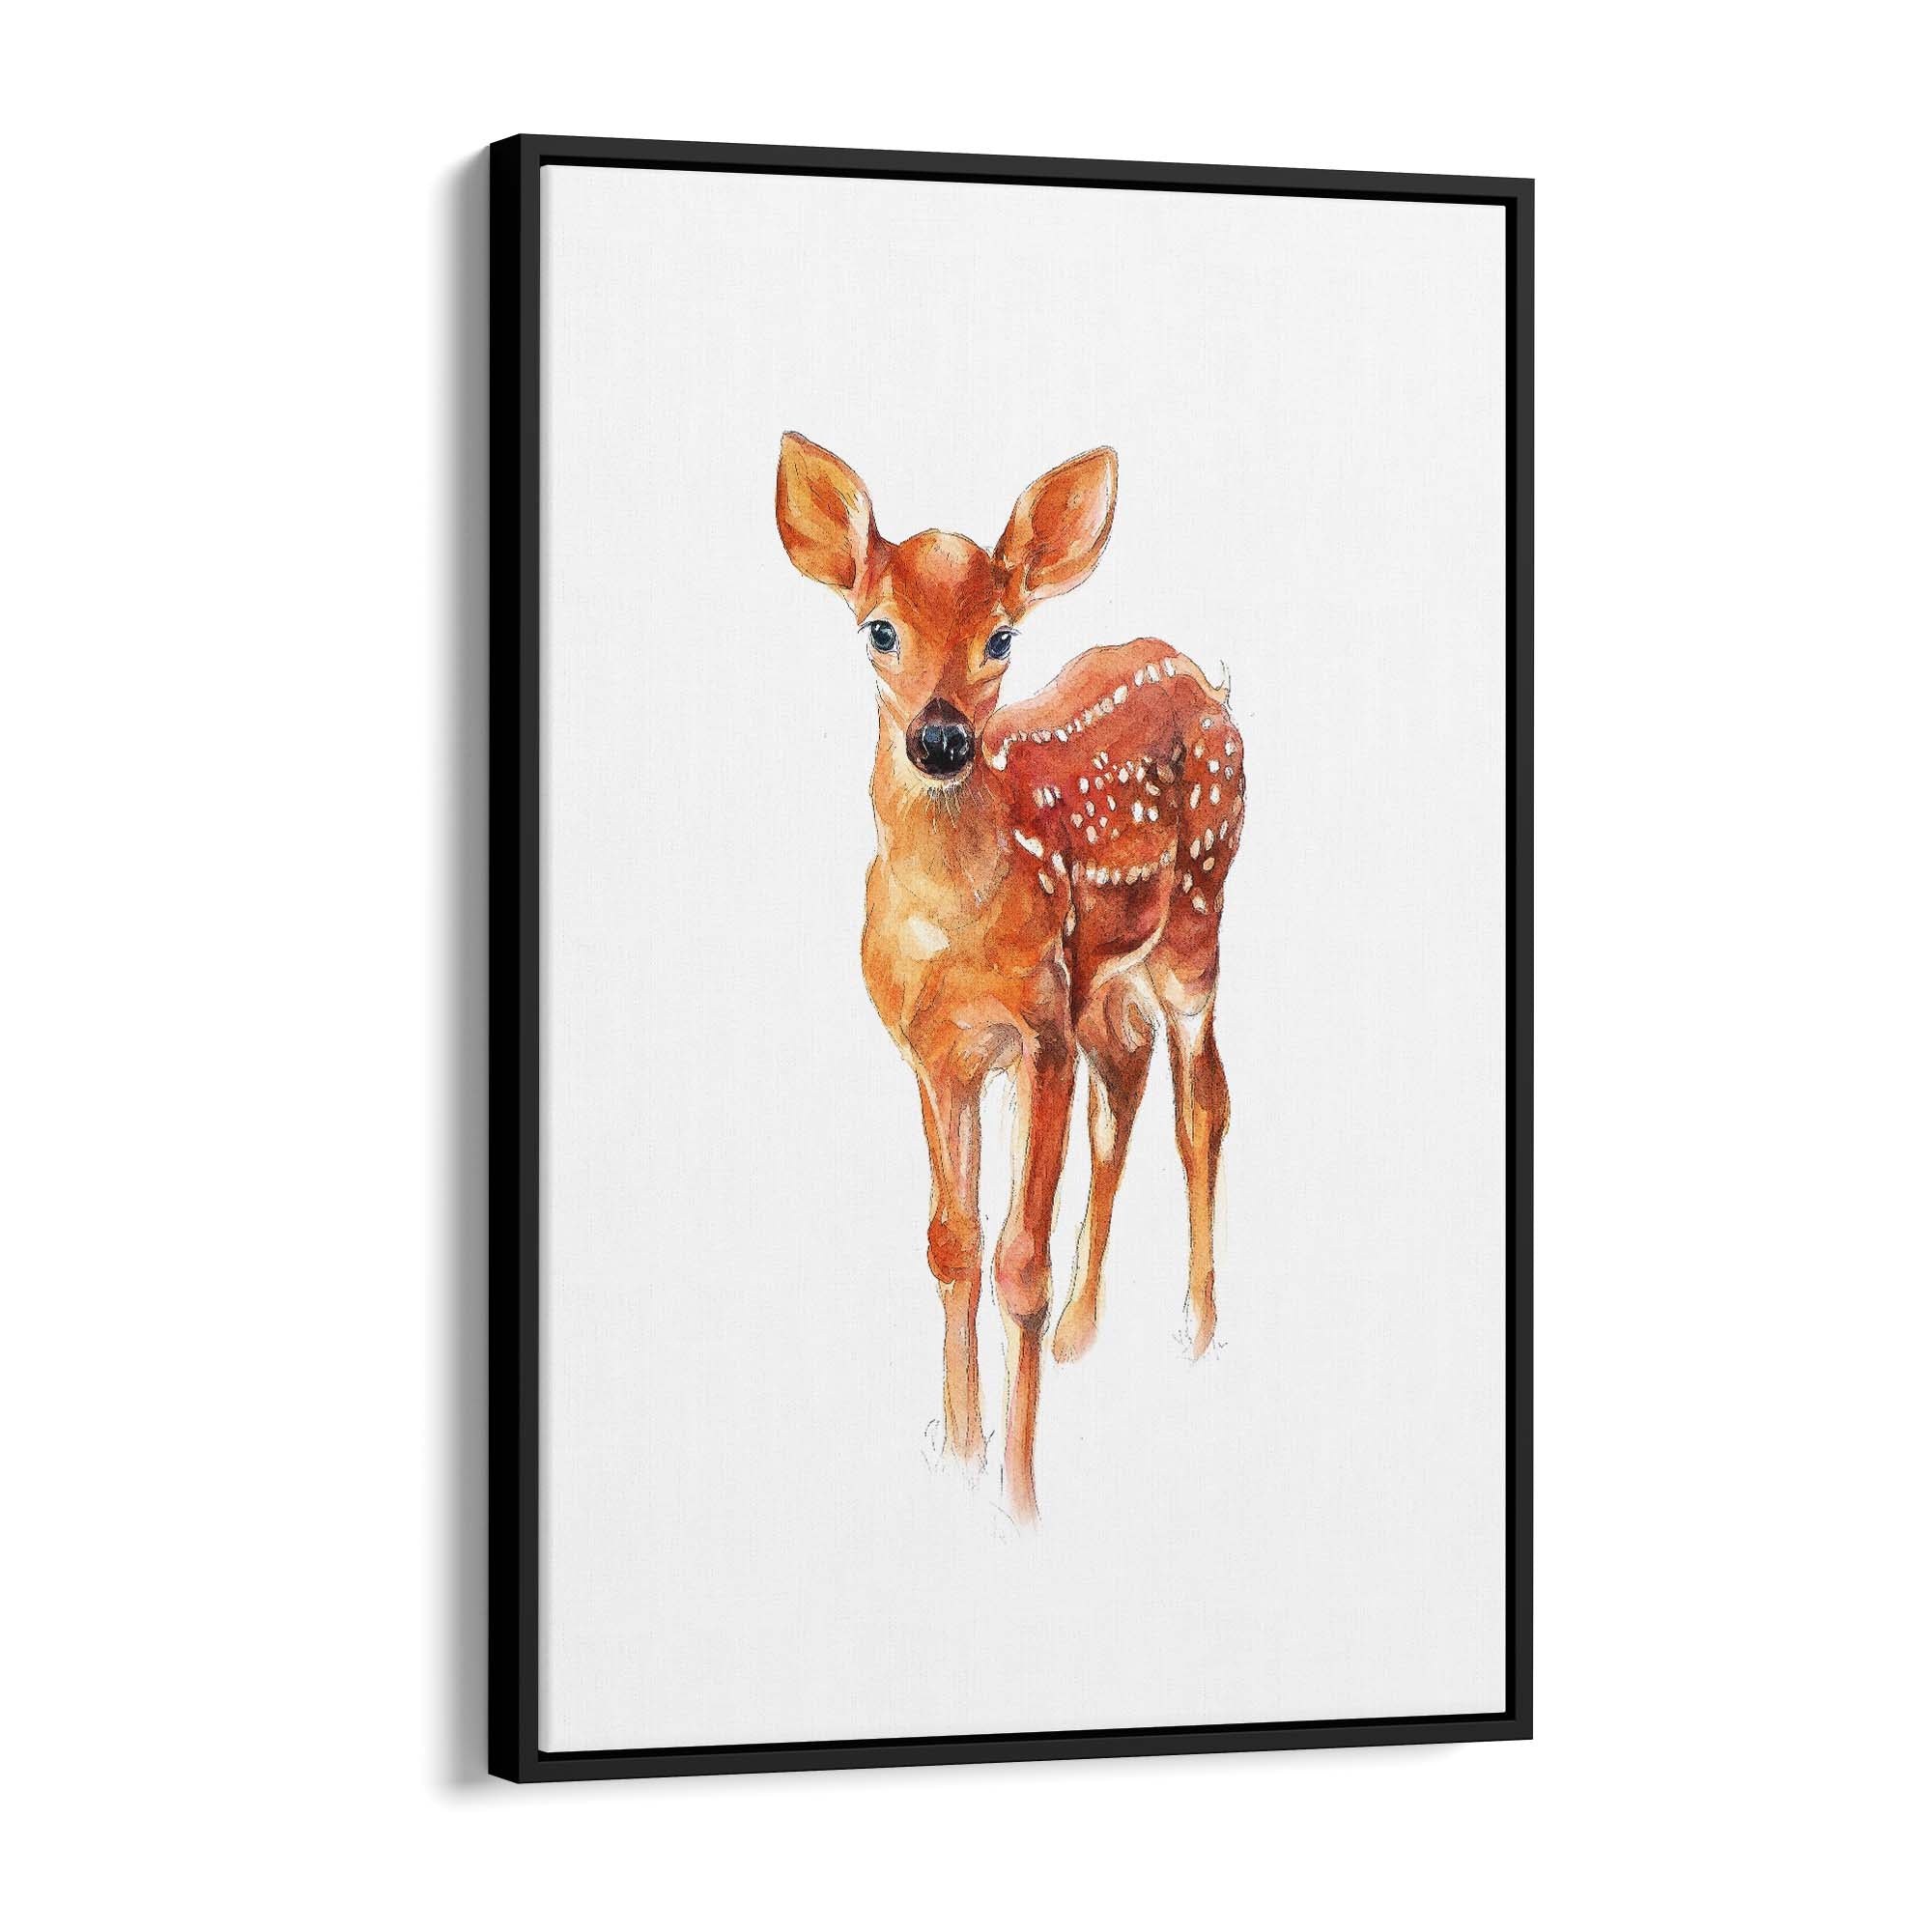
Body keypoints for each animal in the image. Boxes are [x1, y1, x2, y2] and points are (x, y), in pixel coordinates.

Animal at [775, 434, 1243, 1521]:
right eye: (879, 629)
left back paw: (1197, 1329)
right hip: (1102, 977)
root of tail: (1204, 682)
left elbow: (1015, 1263)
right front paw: (955, 1453)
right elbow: (951, 1244)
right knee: (1128, 1080)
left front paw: (1019, 1494)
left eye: (1000, 638)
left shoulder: (1037, 1032)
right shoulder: (933, 1052)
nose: (941, 738)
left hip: (1196, 921)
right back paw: (1082, 1332)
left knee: (1200, 1100)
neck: (952, 928)